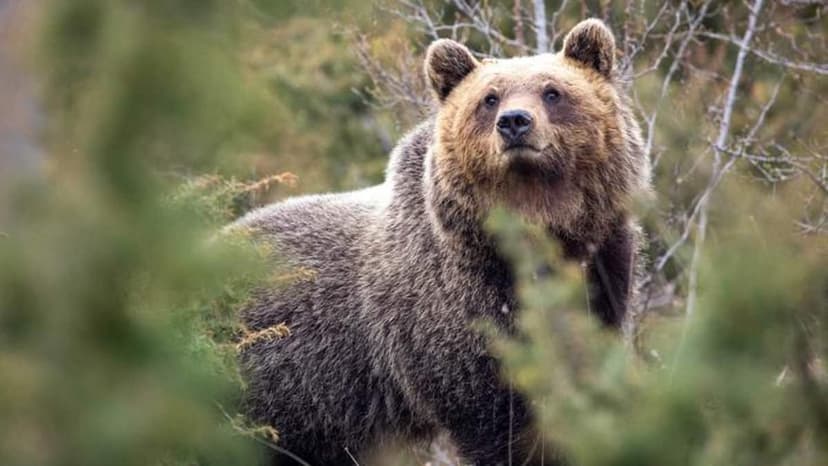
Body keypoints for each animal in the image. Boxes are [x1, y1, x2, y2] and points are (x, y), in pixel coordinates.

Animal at [233, 18, 649, 466]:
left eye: (552, 91)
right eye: (489, 98)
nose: (515, 121)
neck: (538, 232)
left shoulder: (601, 265)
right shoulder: (452, 307)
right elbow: (495, 414)